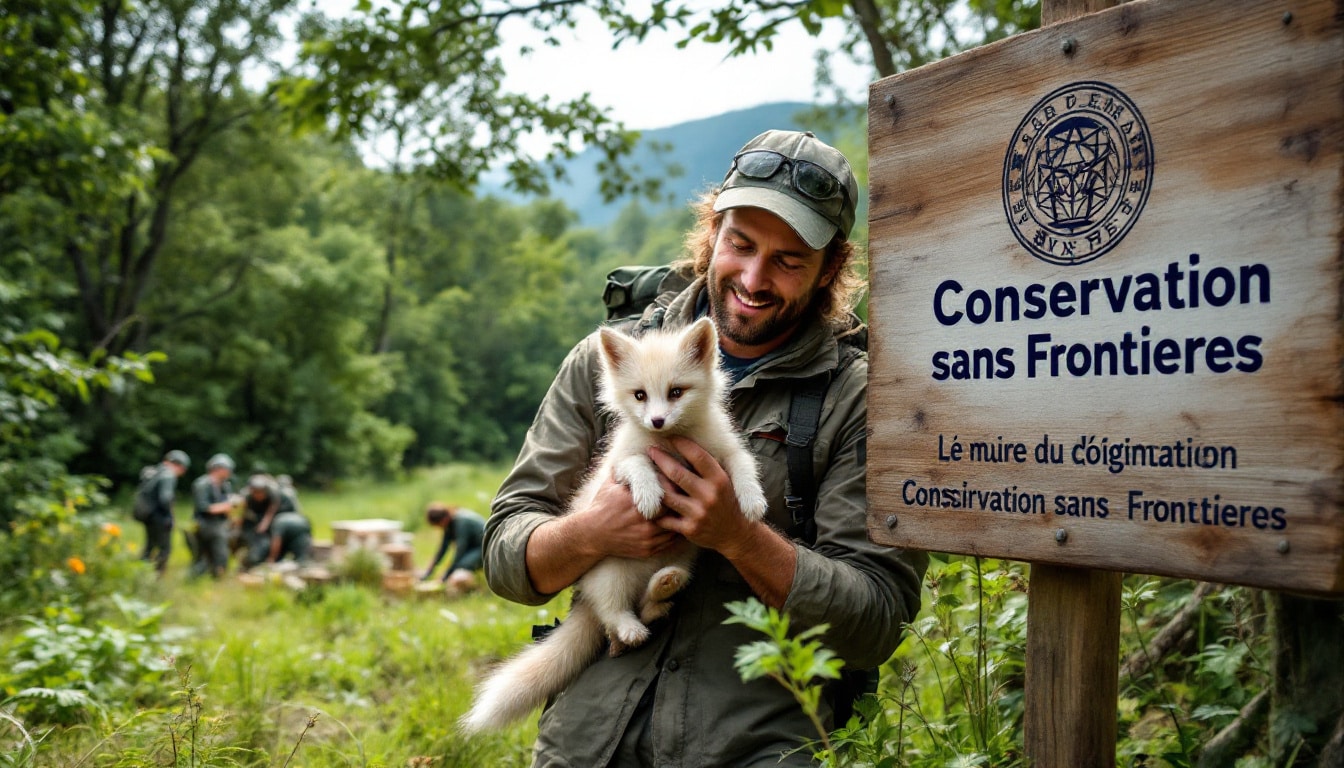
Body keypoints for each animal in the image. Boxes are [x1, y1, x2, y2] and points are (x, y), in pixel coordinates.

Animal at [459, 317, 768, 731]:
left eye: (676, 392)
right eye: (639, 395)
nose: (657, 420)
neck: (670, 441)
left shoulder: (726, 450)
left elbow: (743, 467)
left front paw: (751, 503)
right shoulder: (618, 463)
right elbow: (637, 465)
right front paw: (649, 495)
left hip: (684, 557)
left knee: (648, 604)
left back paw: (664, 588)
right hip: (611, 573)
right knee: (614, 612)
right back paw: (629, 627)